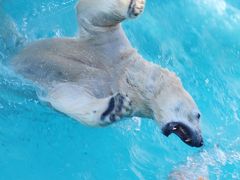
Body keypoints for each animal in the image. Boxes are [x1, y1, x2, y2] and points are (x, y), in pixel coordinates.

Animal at [11, 0, 202, 147]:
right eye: (198, 115)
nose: (200, 141)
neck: (122, 76)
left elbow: (67, 96)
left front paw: (113, 108)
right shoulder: (109, 48)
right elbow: (91, 15)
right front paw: (135, 6)